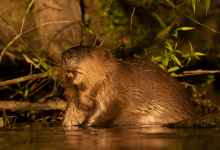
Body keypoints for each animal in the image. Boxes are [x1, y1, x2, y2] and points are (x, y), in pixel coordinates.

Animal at [59, 45, 194, 126]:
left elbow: (102, 110)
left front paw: (83, 125)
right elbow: (71, 113)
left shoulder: (111, 88)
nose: (66, 55)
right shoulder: (73, 98)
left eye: (88, 50)